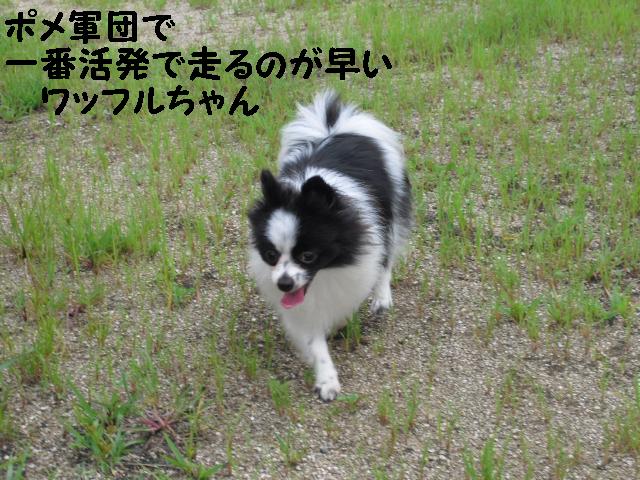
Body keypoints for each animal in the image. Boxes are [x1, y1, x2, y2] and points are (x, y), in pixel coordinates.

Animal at [248, 91, 412, 401]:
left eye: (308, 256)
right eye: (271, 255)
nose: (284, 284)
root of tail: (333, 129)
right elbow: (315, 341)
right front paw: (326, 379)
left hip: (393, 214)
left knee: (387, 259)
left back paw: (382, 298)